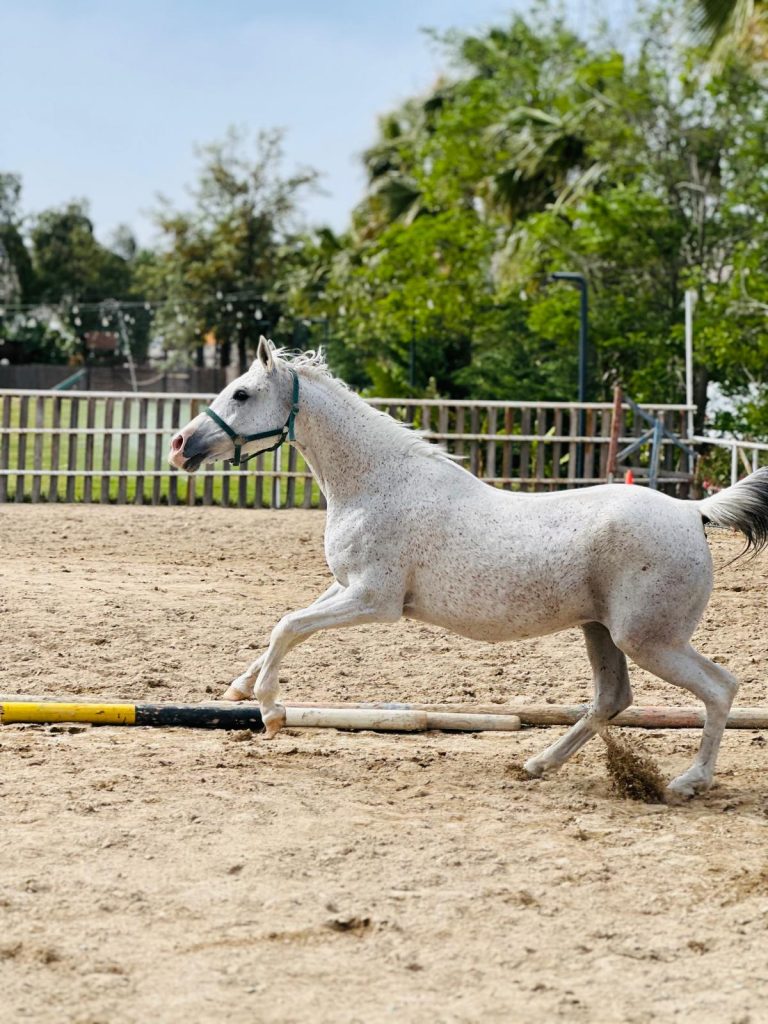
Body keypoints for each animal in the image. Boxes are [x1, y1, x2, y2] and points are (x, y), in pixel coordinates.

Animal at [169, 339, 768, 802]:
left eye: (241, 393)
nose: (180, 446)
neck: (377, 483)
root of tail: (693, 512)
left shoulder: (374, 600)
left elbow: (289, 626)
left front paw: (272, 711)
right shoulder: (345, 586)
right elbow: (286, 625)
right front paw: (240, 688)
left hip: (649, 639)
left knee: (719, 688)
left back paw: (688, 782)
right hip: (601, 631)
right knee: (612, 699)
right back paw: (538, 764)